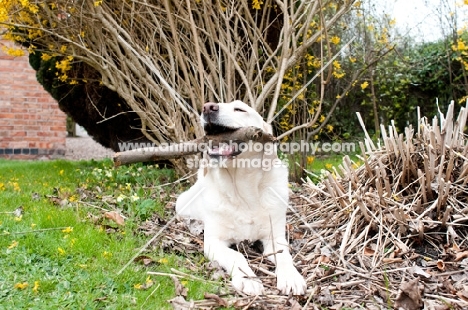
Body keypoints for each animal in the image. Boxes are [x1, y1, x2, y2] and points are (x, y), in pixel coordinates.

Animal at [176, 100, 308, 296]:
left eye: (240, 109)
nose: (207, 107)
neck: (243, 191)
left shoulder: (275, 237)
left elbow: (284, 256)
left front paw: (291, 276)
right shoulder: (213, 242)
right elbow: (236, 255)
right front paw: (248, 279)